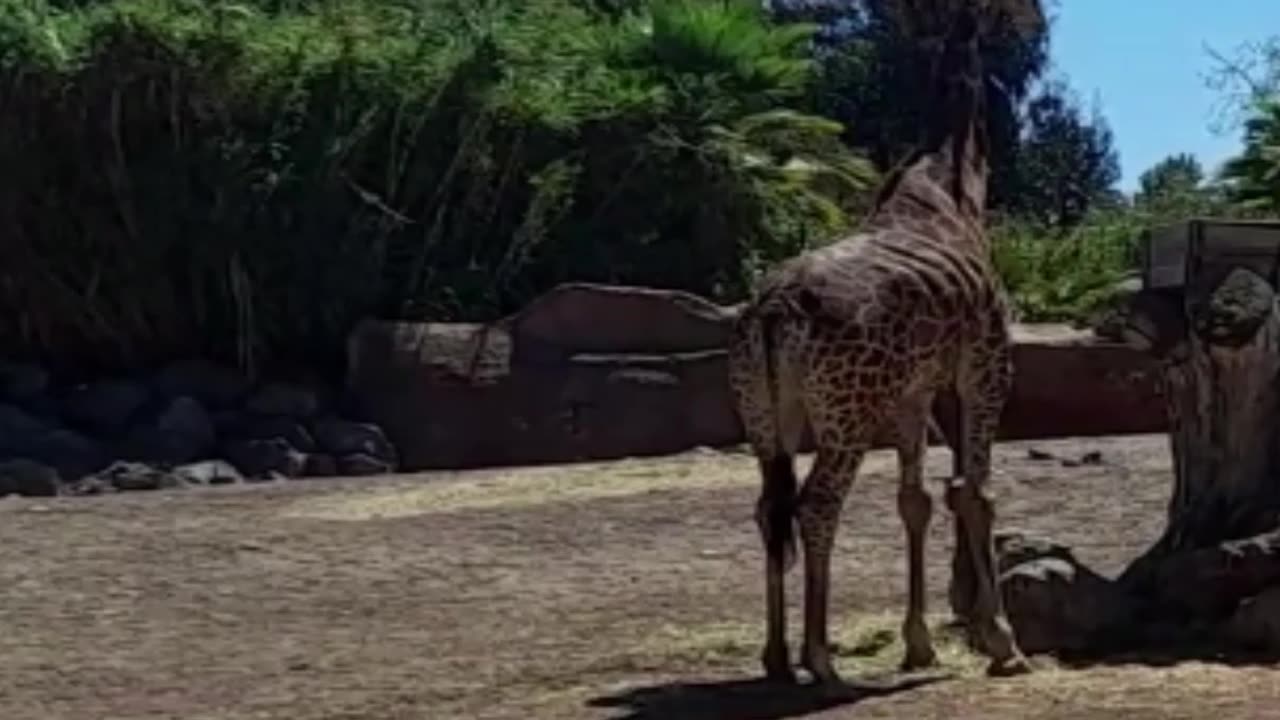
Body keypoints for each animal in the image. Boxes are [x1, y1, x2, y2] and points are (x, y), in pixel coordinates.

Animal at [727, 8, 1030, 685]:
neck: (954, 183)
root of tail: (772, 312)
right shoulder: (986, 368)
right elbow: (977, 493)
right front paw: (1003, 643)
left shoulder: (913, 392)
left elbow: (915, 499)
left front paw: (919, 644)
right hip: (848, 415)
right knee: (817, 505)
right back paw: (820, 661)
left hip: (765, 418)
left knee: (769, 508)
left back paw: (777, 658)